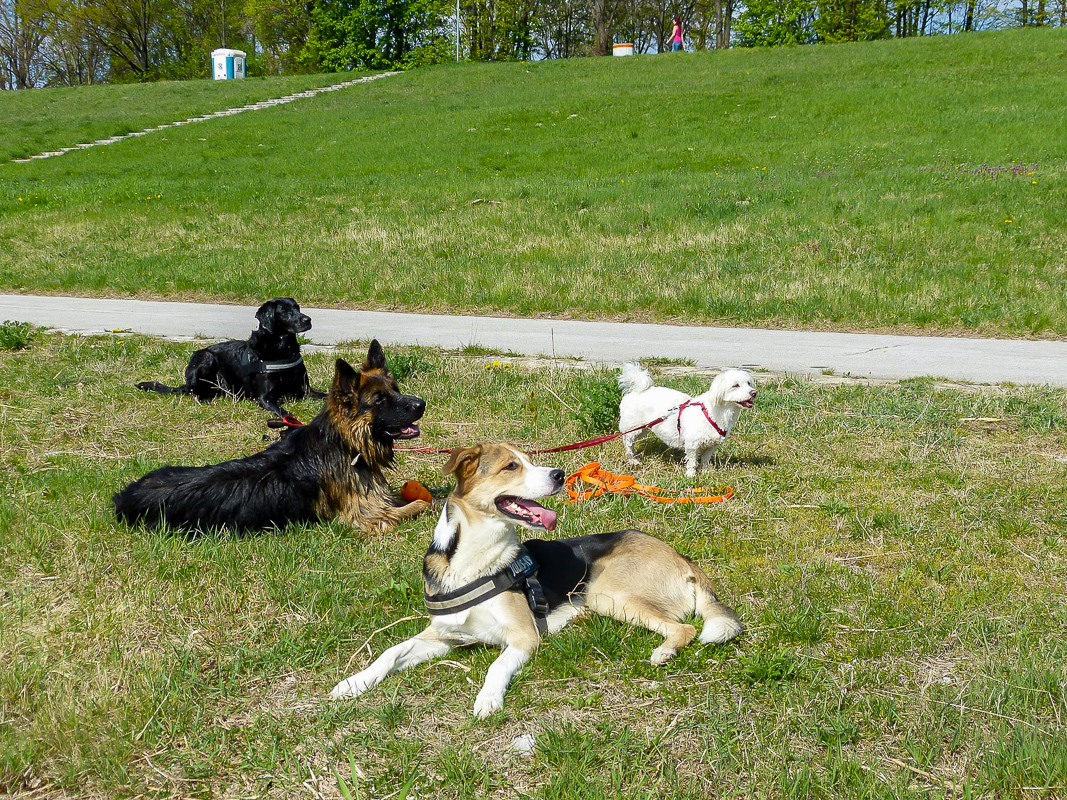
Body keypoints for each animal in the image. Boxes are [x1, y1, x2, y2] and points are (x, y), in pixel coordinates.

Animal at [115, 341, 428, 535]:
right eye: (379, 400)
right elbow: (422, 504)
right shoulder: (370, 517)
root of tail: (124, 497)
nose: (422, 404)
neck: (344, 444)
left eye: (396, 390)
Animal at [135, 296, 322, 420]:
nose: (308, 319)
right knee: (194, 392)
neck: (282, 349)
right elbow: (285, 413)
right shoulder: (265, 398)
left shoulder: (305, 390)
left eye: (298, 308)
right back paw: (206, 399)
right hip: (205, 357)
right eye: (285, 312)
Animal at [330, 445, 742, 721]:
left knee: (685, 628)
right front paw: (353, 683)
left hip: (607, 592)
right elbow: (390, 652)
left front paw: (488, 699)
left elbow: (496, 666)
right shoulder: (444, 636)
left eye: (528, 460)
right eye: (511, 466)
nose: (560, 474)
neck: (474, 562)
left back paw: (664, 652)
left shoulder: (523, 637)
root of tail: (683, 558)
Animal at [618, 366, 759, 480]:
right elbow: (692, 462)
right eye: (735, 385)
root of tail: (636, 390)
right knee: (627, 442)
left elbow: (705, 461)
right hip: (634, 427)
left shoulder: (711, 446)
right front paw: (691, 475)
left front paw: (705, 473)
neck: (715, 413)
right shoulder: (692, 445)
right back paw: (632, 460)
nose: (754, 393)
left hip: (645, 427)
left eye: (749, 383)